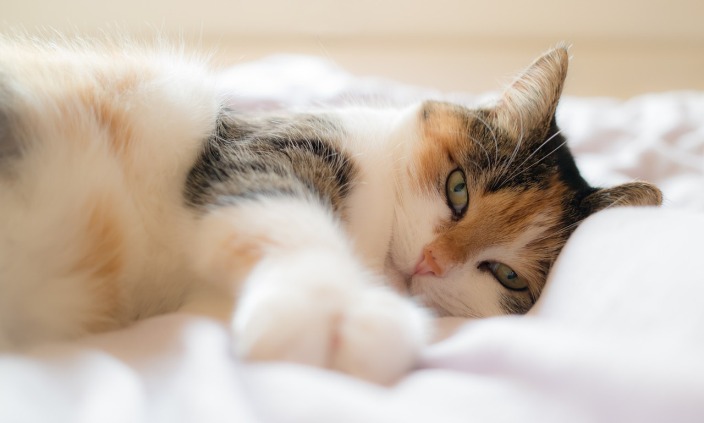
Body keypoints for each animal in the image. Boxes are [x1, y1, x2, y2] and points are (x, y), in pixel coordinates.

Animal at [0, 34, 660, 386]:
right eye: (458, 190)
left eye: (506, 275)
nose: (429, 262)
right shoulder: (267, 147)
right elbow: (291, 221)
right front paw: (335, 309)